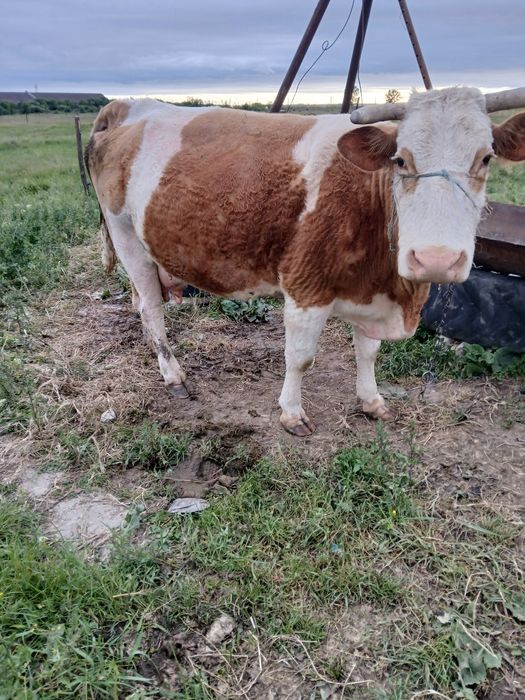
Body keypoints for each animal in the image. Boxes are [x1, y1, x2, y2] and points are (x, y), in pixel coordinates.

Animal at [86, 87, 525, 436]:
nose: (436, 258)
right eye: (401, 160)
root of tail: (130, 105)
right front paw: (292, 413)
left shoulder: (371, 291)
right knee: (150, 308)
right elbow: (300, 358)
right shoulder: (305, 286)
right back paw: (174, 376)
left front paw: (372, 402)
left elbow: (368, 352)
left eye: (486, 159)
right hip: (126, 237)